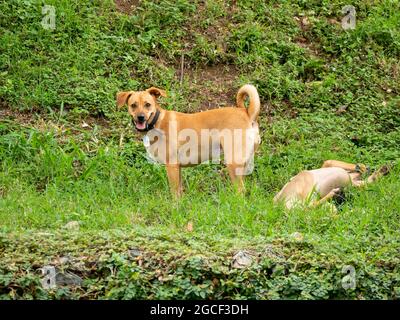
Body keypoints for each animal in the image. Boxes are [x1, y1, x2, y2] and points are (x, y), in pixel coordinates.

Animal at [116, 84, 260, 196]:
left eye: (147, 105)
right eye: (133, 105)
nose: (140, 117)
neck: (157, 122)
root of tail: (246, 113)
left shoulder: (171, 166)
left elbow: (174, 193)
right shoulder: (177, 168)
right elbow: (179, 191)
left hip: (233, 162)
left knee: (240, 191)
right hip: (244, 164)